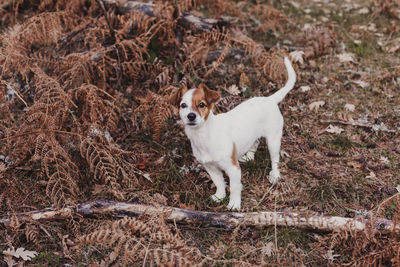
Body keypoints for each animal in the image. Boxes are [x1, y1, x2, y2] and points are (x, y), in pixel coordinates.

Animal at [177, 57, 296, 211]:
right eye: (183, 105)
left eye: (202, 105)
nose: (191, 116)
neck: (204, 135)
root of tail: (269, 99)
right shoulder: (211, 167)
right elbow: (219, 182)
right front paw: (220, 196)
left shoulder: (233, 168)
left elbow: (234, 188)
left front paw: (234, 204)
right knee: (255, 142)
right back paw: (249, 156)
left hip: (273, 140)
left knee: (275, 158)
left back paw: (274, 175)